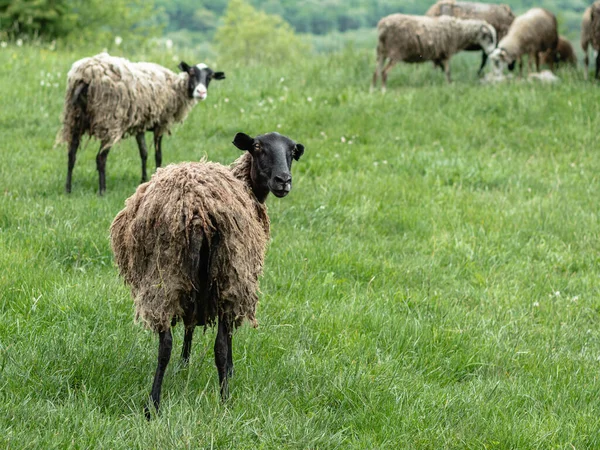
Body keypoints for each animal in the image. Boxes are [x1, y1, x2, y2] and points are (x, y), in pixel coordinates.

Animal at [57, 52, 225, 193]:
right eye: (191, 72)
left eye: (210, 77)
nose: (201, 92)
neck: (176, 88)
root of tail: (86, 75)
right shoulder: (161, 124)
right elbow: (158, 155)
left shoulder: (140, 127)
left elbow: (143, 153)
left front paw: (144, 180)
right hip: (109, 120)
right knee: (100, 157)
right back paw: (102, 190)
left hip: (74, 118)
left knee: (71, 154)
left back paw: (68, 189)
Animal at [109, 130, 304, 418]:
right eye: (258, 147)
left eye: (291, 152)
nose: (283, 180)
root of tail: (196, 211)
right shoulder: (236, 280)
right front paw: (226, 370)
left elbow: (190, 325)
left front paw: (184, 363)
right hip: (223, 273)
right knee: (216, 344)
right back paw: (221, 400)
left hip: (168, 276)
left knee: (166, 344)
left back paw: (154, 404)